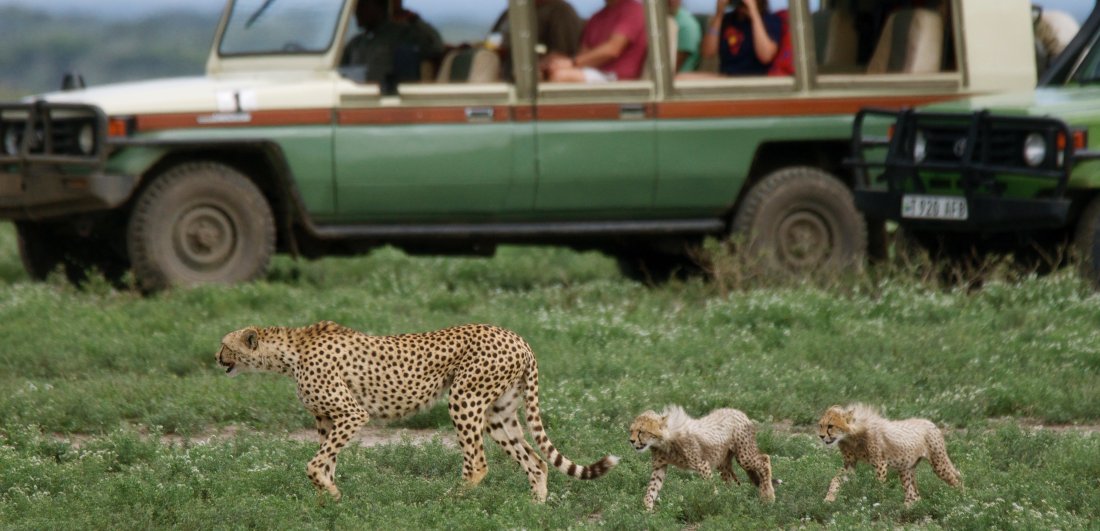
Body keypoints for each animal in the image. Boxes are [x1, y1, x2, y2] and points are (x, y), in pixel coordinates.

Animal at [214, 321, 620, 503]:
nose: (216, 358)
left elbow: (315, 463)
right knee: (535, 461)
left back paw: (450, 502)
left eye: (224, 345)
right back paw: (533, 512)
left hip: (465, 399)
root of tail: (517, 337)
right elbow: (326, 462)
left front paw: (330, 494)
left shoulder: (351, 414)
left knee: (478, 463)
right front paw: (330, 500)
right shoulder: (327, 420)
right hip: (499, 412)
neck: (289, 353)